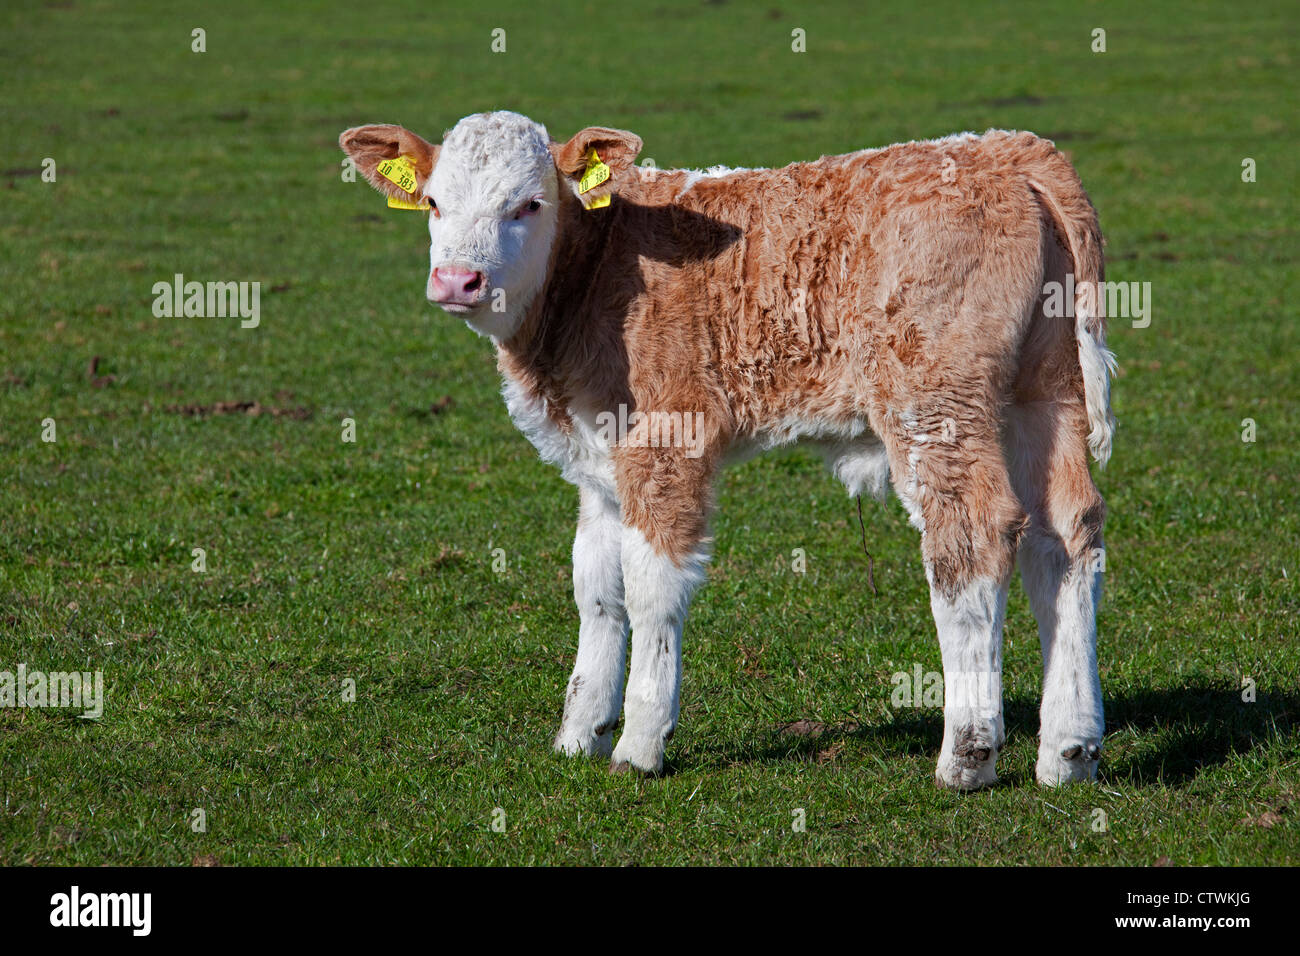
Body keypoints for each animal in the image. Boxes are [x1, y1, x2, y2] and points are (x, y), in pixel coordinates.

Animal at [338, 108, 1118, 790]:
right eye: (434, 202)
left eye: (528, 204)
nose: (457, 280)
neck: (596, 265)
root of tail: (1005, 150)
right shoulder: (600, 465)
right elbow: (596, 587)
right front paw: (579, 733)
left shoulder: (666, 444)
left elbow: (651, 589)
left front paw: (639, 744)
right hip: (1044, 391)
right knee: (1064, 534)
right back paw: (1068, 750)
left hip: (934, 400)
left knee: (972, 537)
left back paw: (967, 756)